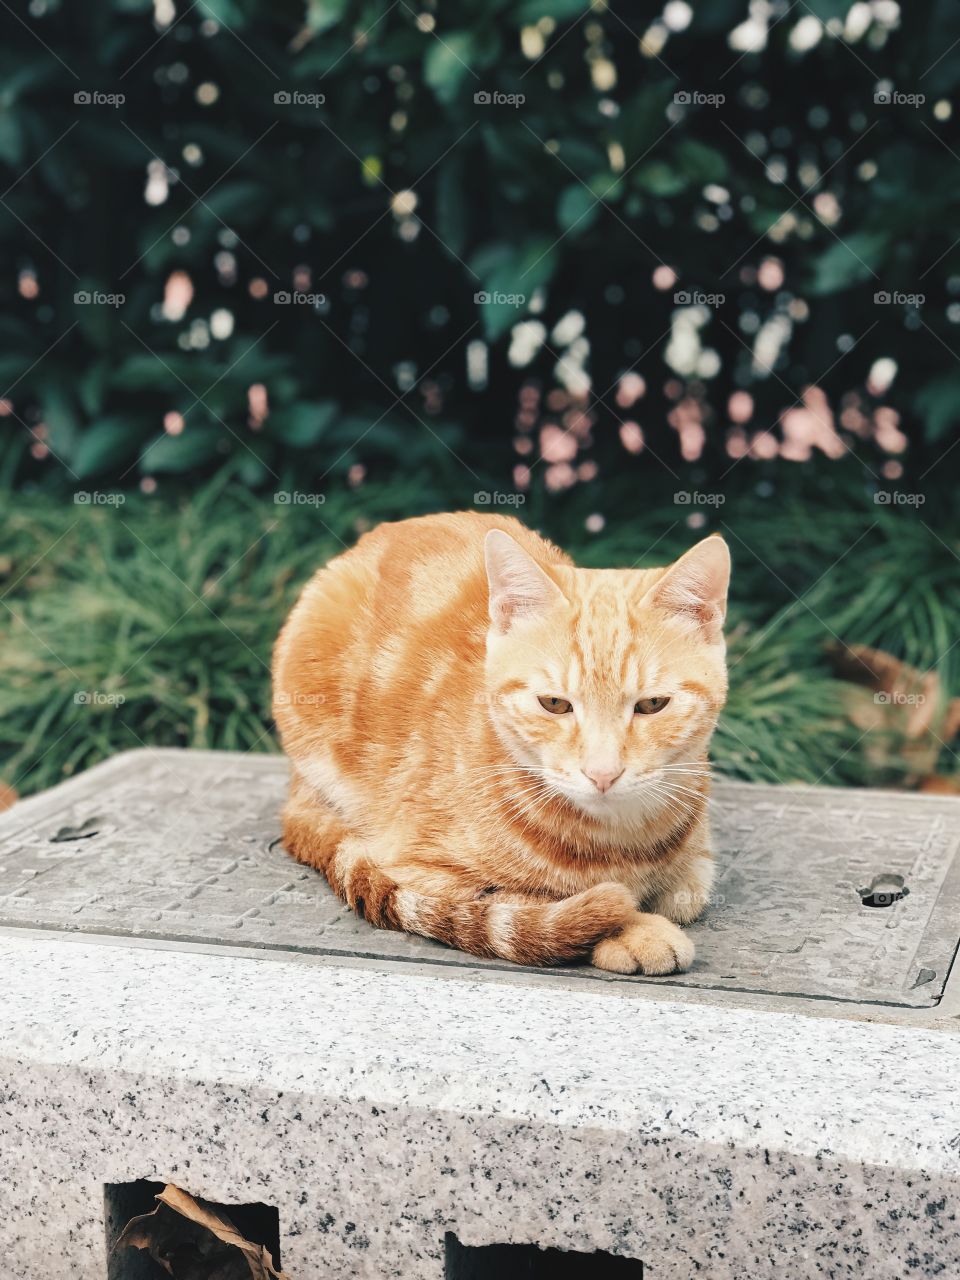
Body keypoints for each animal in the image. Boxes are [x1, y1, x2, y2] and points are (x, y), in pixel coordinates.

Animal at [273, 509, 732, 967]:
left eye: (652, 704)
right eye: (554, 704)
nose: (602, 773)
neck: (619, 841)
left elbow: (689, 885)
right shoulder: (412, 868)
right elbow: (533, 900)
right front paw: (633, 927)